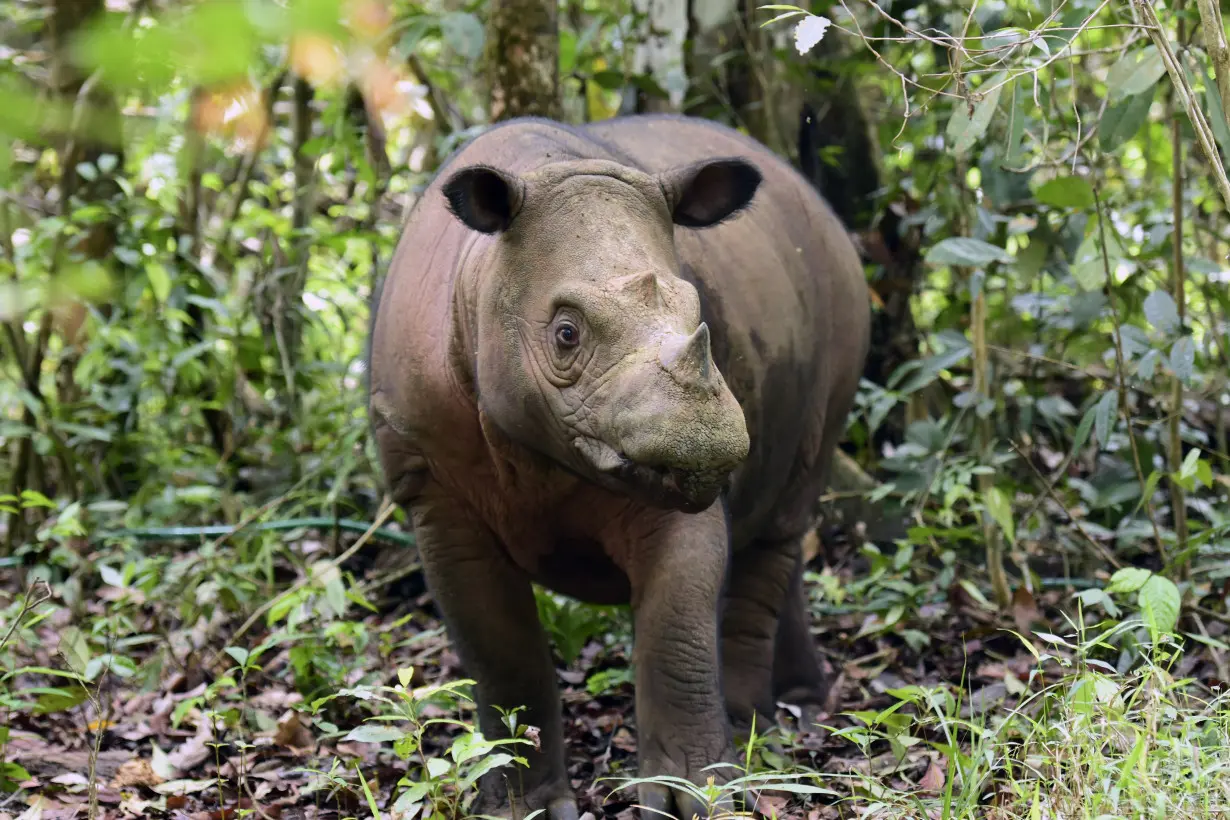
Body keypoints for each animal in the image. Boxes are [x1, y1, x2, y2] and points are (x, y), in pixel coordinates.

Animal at [369, 115, 870, 820]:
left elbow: (677, 631)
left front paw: (694, 796)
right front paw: (523, 807)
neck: (485, 276)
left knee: (785, 516)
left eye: (699, 315)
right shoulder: (432, 487)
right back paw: (795, 706)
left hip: (843, 293)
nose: (707, 441)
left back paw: (761, 729)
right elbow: (498, 651)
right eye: (566, 334)